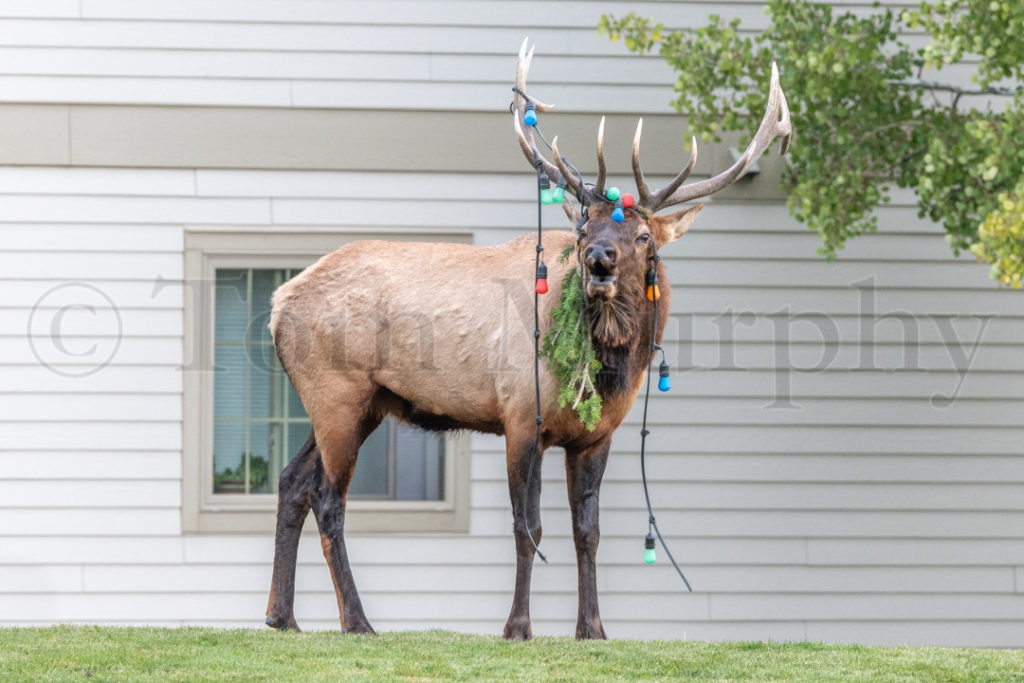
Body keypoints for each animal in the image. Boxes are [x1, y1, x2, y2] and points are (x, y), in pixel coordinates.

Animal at [263, 39, 791, 640]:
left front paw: (593, 628)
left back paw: (282, 617)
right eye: (584, 229)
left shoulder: (597, 436)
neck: (603, 374)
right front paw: (518, 626)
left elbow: (588, 531)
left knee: (291, 482)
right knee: (327, 497)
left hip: (361, 402)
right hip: (338, 392)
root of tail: (278, 305)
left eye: (642, 236)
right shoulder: (520, 414)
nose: (599, 259)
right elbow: (528, 527)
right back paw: (357, 621)